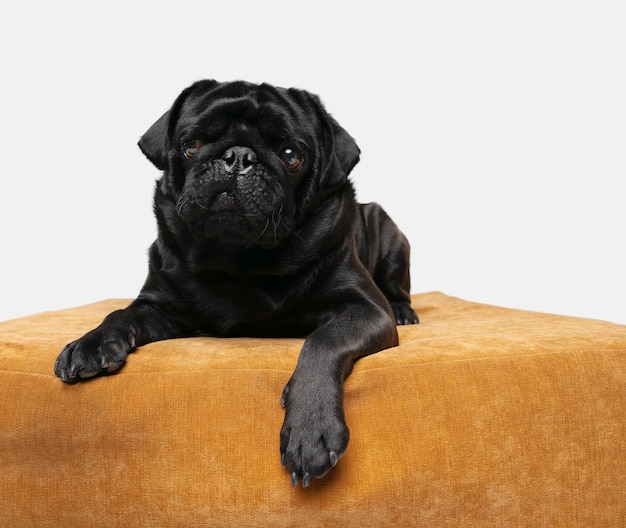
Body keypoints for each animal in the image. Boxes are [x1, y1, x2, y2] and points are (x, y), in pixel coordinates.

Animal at [54, 80, 414, 488]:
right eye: (191, 144)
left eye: (291, 156)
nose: (238, 156)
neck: (239, 259)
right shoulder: (160, 306)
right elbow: (121, 314)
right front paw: (91, 343)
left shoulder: (365, 309)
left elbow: (323, 340)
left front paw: (310, 428)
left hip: (389, 232)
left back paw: (404, 311)